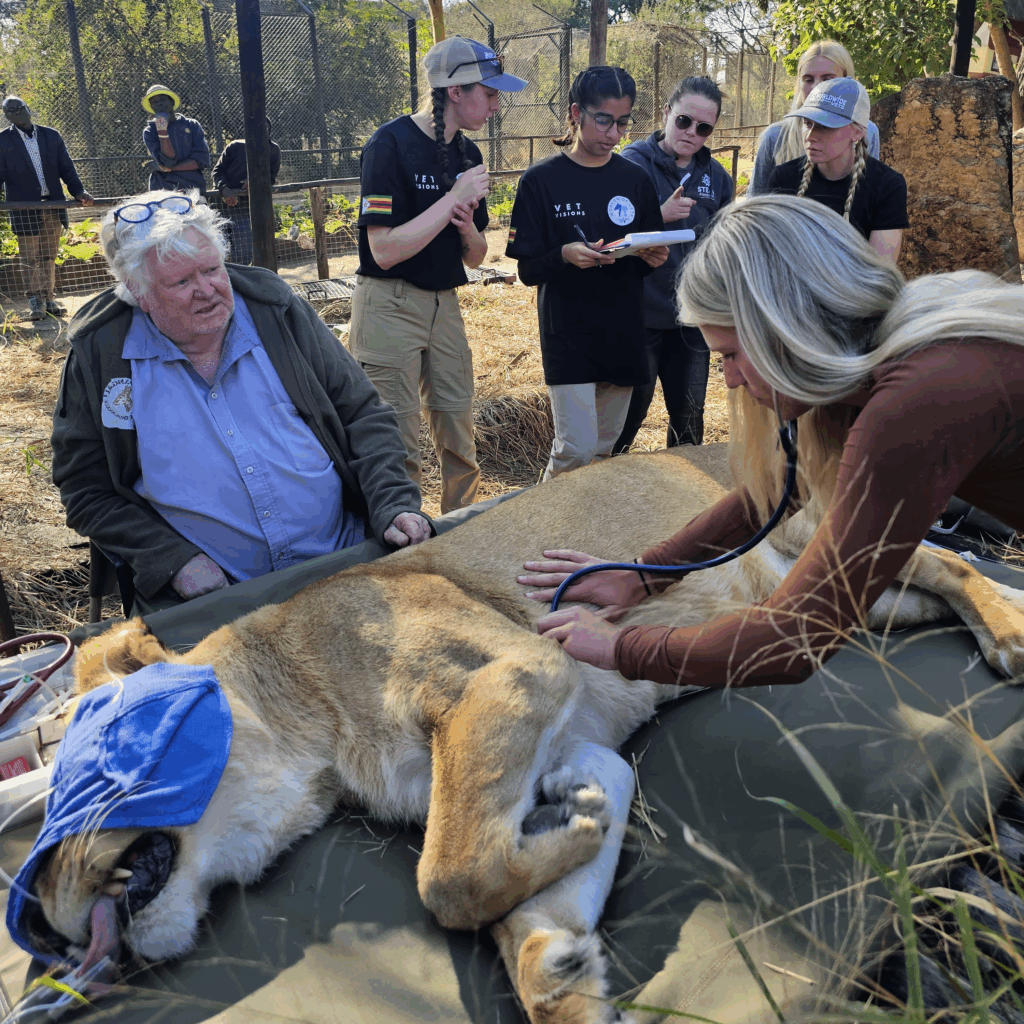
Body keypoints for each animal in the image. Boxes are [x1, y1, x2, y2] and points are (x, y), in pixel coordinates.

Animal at [13, 446, 1024, 1024]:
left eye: (73, 771)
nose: (42, 935)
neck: (300, 712)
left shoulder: (512, 671)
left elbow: (447, 879)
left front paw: (569, 833)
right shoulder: (573, 744)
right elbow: (514, 891)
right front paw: (564, 957)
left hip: (835, 532)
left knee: (952, 561)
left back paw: (1009, 631)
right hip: (830, 609)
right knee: (914, 593)